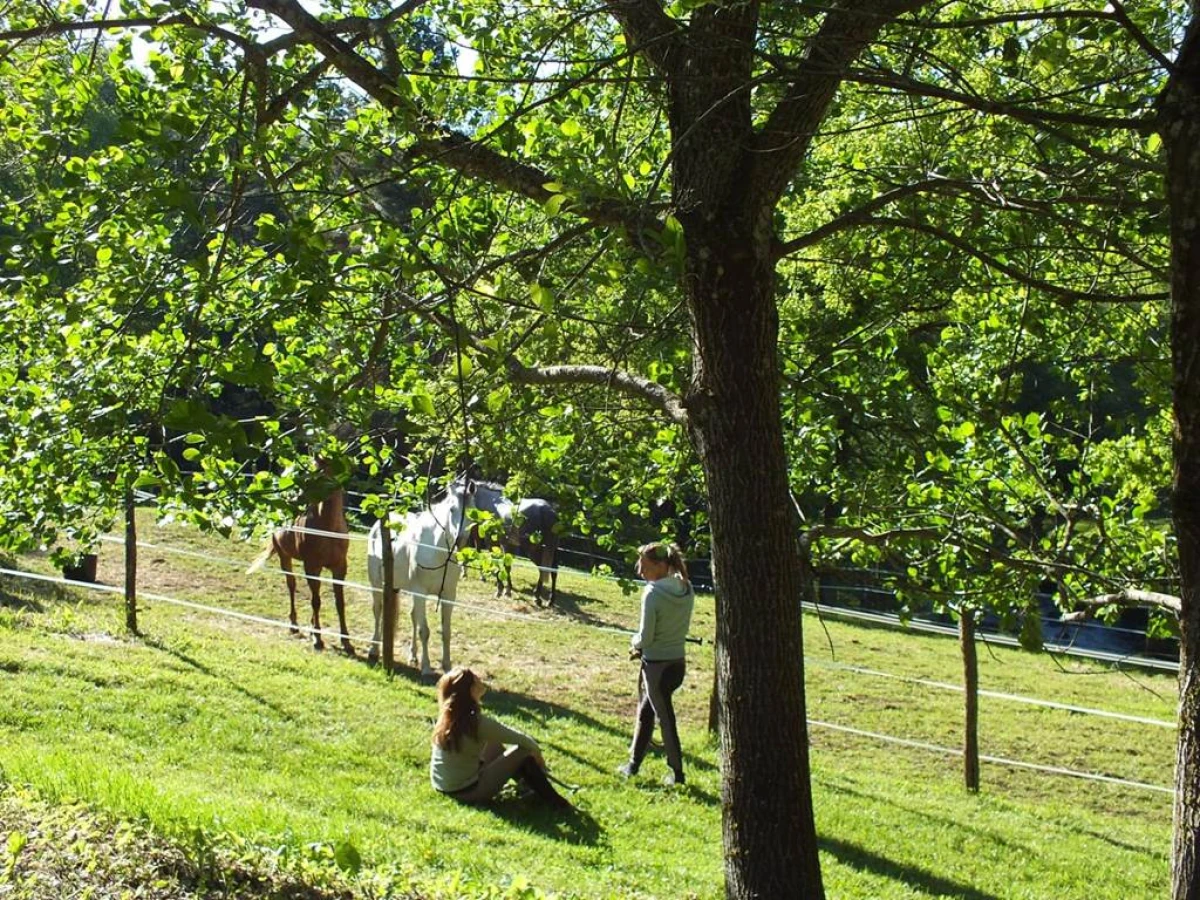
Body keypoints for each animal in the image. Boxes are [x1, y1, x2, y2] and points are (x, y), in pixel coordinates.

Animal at [247, 482, 350, 652]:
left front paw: (347, 642)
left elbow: (340, 603)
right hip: (284, 557)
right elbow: (316, 602)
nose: (296, 498)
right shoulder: (312, 567)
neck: (328, 528)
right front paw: (317, 639)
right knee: (292, 585)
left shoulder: (340, 568)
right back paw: (294, 625)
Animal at [364, 480, 477, 676]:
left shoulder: (449, 595)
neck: (438, 551)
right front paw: (426, 667)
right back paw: (374, 650)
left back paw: (412, 655)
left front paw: (447, 667)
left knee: (411, 616)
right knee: (378, 611)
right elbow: (424, 631)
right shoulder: (420, 592)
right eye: (452, 510)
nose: (460, 541)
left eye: (471, 510)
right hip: (377, 584)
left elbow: (446, 631)